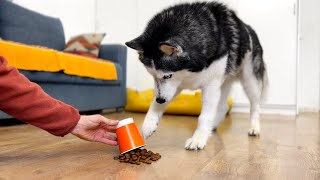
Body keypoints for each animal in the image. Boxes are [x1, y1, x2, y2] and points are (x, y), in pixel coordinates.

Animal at [125, 1, 268, 150]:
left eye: (167, 76)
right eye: (152, 75)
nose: (160, 100)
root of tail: (248, 27)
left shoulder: (210, 86)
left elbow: (204, 116)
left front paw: (198, 139)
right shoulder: (175, 86)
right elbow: (154, 103)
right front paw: (149, 123)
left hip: (250, 81)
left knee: (255, 106)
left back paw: (254, 128)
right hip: (224, 83)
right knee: (223, 107)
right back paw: (212, 127)